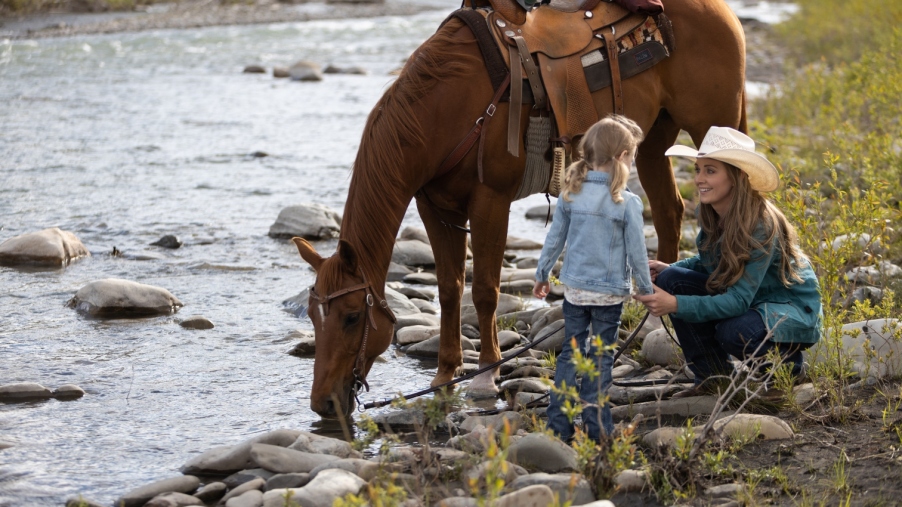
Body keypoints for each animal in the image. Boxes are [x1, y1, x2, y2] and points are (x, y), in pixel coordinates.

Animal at [296, 0, 748, 418]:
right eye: (313, 315)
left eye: (352, 317)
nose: (323, 403)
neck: (447, 108)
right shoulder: (435, 209)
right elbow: (449, 290)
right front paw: (444, 375)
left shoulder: (490, 200)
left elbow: (484, 290)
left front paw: (485, 375)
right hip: (654, 138)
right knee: (669, 210)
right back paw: (654, 317)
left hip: (714, 124)